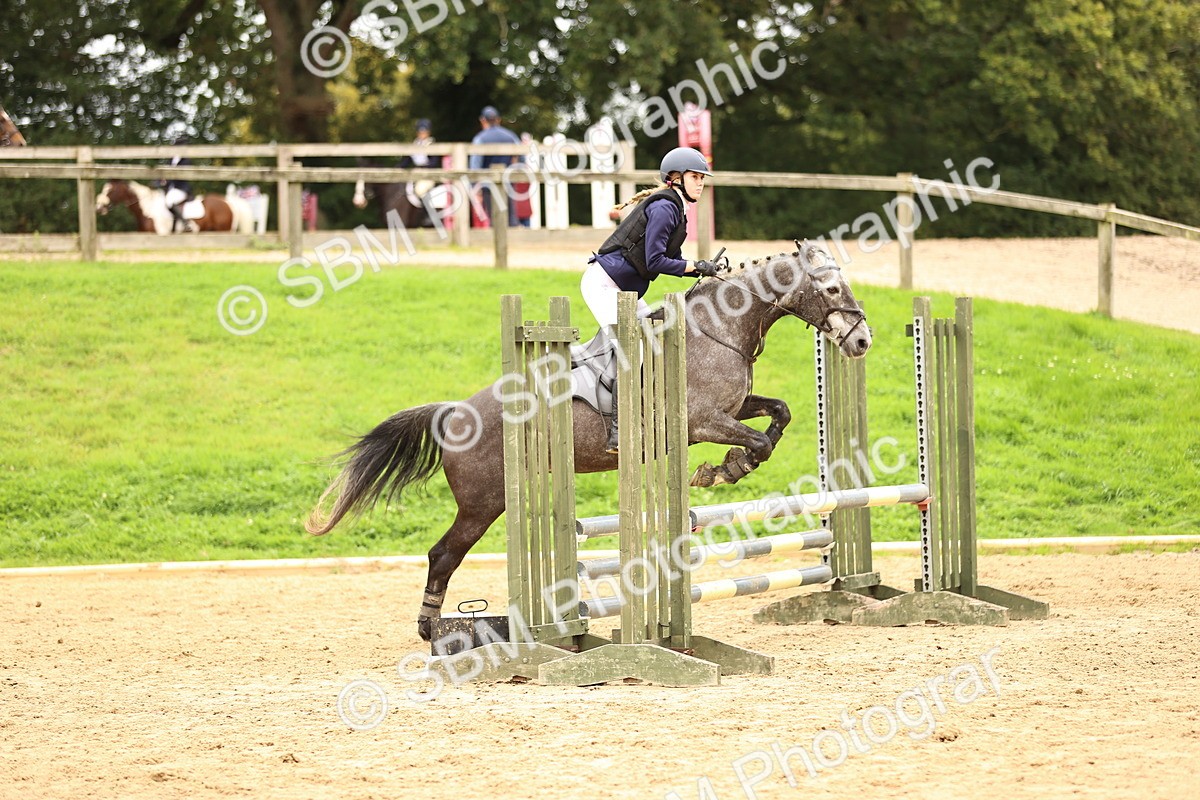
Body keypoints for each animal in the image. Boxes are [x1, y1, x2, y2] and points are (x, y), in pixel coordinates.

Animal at [305, 242, 872, 641]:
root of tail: (453, 413)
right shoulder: (701, 422)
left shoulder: (732, 409)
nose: (862, 341)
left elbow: (779, 414)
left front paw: (729, 466)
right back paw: (429, 628)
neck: (720, 329)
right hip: (482, 504)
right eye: (831, 290)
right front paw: (723, 470)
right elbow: (758, 443)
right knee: (442, 554)